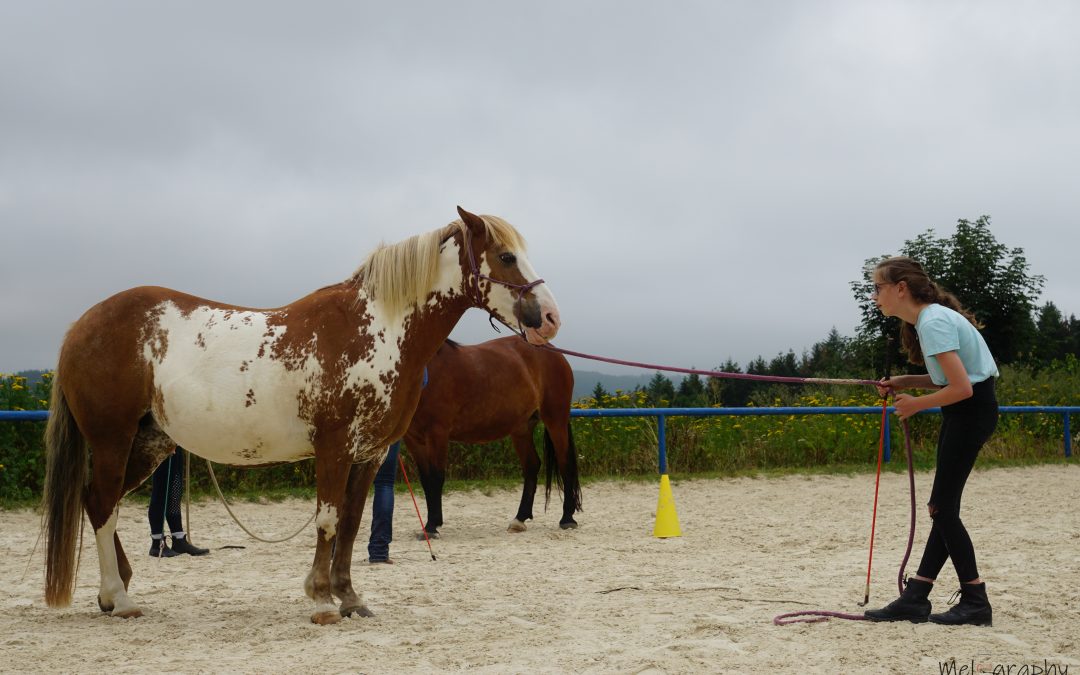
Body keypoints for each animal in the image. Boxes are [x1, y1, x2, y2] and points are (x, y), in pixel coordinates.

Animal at [44, 205, 565, 622]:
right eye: (506, 257)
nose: (551, 318)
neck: (376, 329)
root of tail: (80, 326)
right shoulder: (334, 448)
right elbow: (328, 521)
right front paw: (320, 600)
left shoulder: (369, 455)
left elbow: (351, 525)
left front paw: (350, 598)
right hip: (112, 441)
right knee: (103, 505)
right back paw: (120, 598)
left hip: (148, 444)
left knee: (96, 502)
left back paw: (112, 593)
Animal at [403, 336, 583, 537]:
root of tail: (555, 353)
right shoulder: (413, 440)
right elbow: (426, 480)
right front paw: (431, 524)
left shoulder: (437, 433)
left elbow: (436, 477)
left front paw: (432, 526)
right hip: (522, 429)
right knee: (532, 465)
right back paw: (519, 519)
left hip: (555, 420)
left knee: (565, 463)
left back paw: (567, 518)